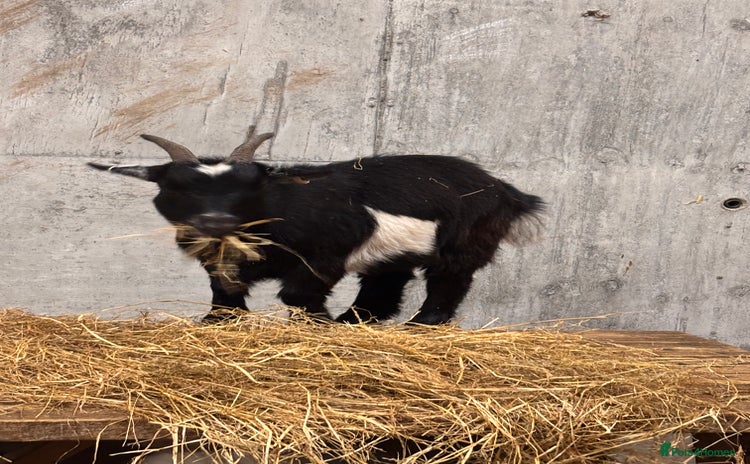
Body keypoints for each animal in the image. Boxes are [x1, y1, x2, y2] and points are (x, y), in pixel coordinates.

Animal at [89, 126, 543, 324]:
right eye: (178, 187)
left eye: (251, 187)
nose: (216, 219)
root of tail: (508, 191)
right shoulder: (223, 263)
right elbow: (225, 294)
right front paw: (218, 324)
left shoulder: (323, 255)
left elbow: (297, 295)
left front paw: (317, 325)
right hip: (392, 252)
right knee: (384, 283)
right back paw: (355, 322)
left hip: (463, 242)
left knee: (448, 280)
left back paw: (421, 324)